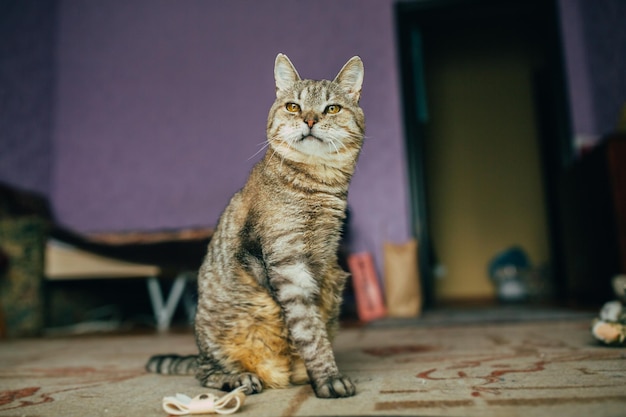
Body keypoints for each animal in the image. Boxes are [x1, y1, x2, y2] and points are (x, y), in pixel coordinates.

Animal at [147, 53, 364, 398]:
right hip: (216, 338)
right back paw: (240, 379)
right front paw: (328, 378)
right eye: (293, 107)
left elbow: (316, 324)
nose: (310, 120)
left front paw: (321, 372)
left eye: (332, 108)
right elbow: (309, 330)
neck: (317, 183)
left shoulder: (323, 262)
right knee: (206, 372)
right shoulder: (287, 266)